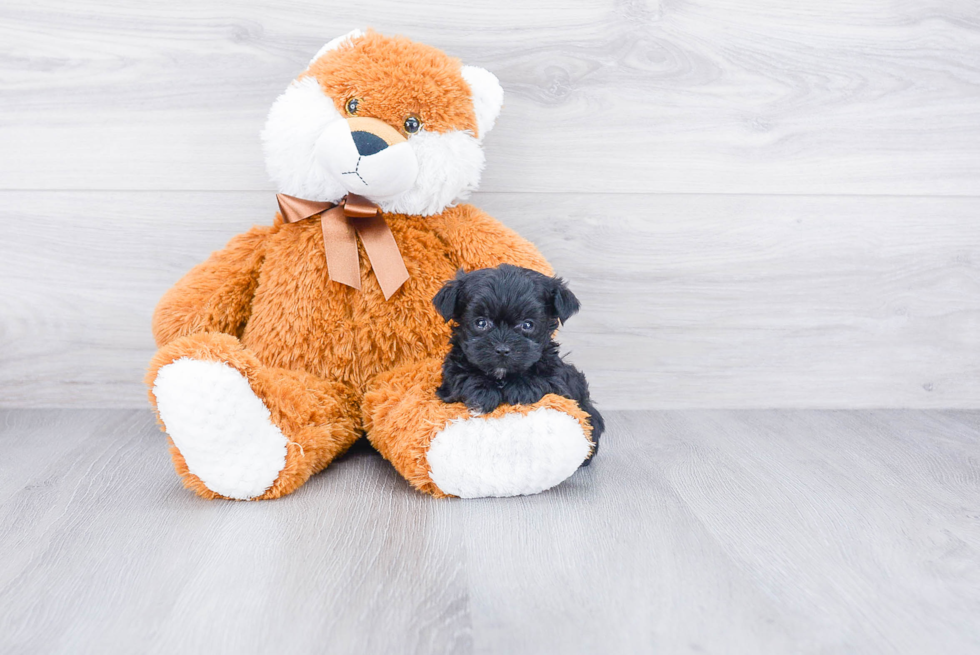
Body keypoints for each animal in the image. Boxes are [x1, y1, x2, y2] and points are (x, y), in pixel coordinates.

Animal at [432, 264, 600, 464]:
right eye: (481, 322)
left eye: (527, 325)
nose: (503, 349)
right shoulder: (450, 377)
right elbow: (461, 375)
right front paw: (483, 391)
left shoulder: (559, 379)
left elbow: (545, 378)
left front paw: (521, 387)